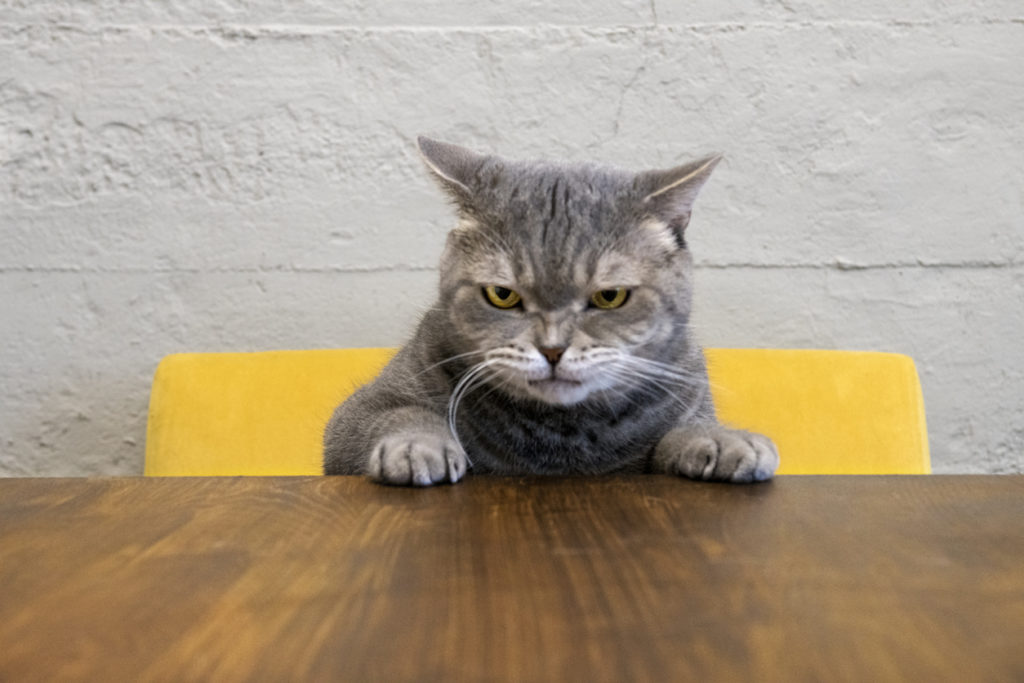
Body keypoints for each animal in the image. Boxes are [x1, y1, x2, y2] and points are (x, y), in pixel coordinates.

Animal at [323, 135, 778, 485]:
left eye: (609, 296)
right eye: (501, 295)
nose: (553, 349)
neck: (563, 433)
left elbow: (683, 431)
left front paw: (723, 440)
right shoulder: (360, 411)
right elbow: (402, 414)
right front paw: (416, 446)